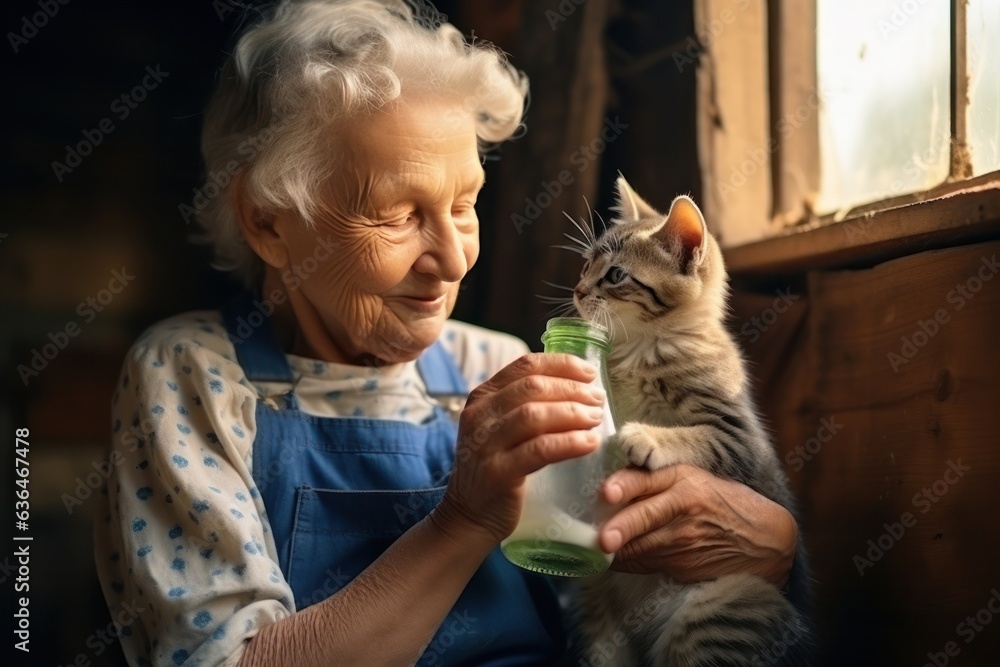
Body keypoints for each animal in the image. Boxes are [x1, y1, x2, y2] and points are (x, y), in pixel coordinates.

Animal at [568, 175, 808, 664]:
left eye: (616, 275)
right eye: (586, 264)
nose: (578, 291)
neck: (641, 348)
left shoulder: (739, 439)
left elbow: (698, 437)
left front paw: (645, 438)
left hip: (723, 602)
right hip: (598, 614)